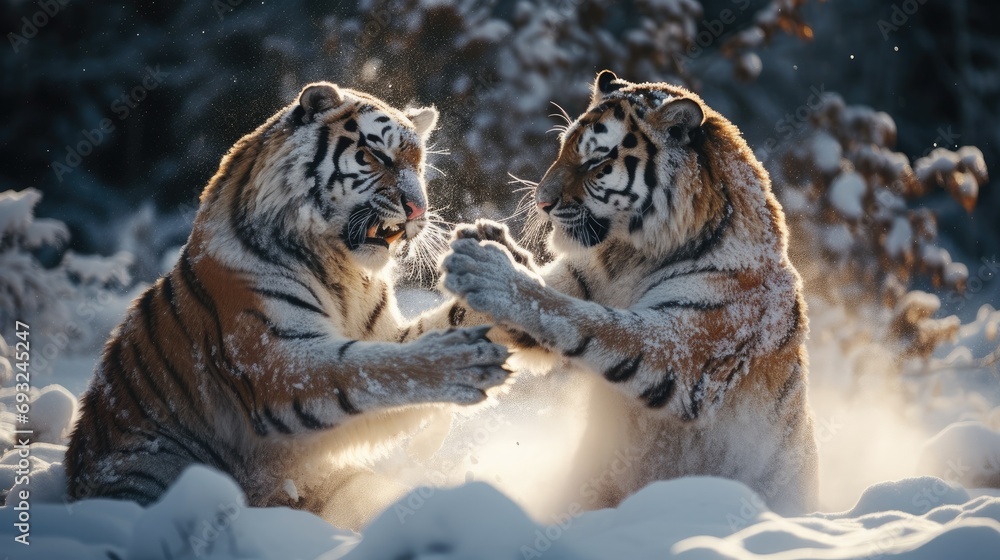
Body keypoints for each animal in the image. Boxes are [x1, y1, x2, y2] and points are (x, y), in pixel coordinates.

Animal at [65, 81, 512, 528]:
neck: (346, 271)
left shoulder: (381, 332)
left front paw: (500, 273)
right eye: (375, 157)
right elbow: (368, 368)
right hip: (151, 465)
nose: (419, 210)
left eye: (418, 166)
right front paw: (463, 362)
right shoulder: (274, 359)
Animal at [442, 71, 816, 516]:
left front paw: (488, 269)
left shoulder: (684, 345)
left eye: (596, 162)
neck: (630, 255)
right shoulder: (580, 278)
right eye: (562, 147)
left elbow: (586, 318)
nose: (541, 201)